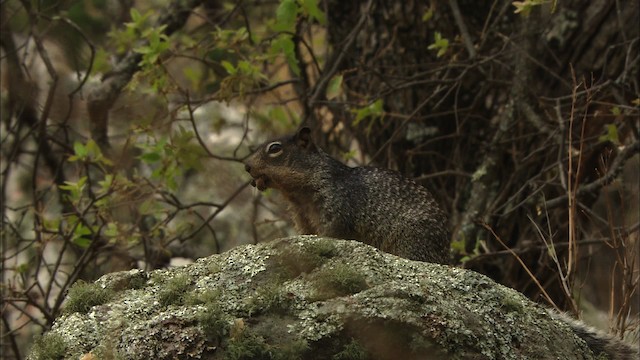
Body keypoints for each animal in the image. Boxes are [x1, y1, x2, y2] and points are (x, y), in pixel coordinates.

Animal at [245, 128, 450, 262]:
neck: (299, 196)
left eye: (274, 148)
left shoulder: (336, 207)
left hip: (411, 239)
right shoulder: (302, 219)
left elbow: (334, 232)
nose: (246, 166)